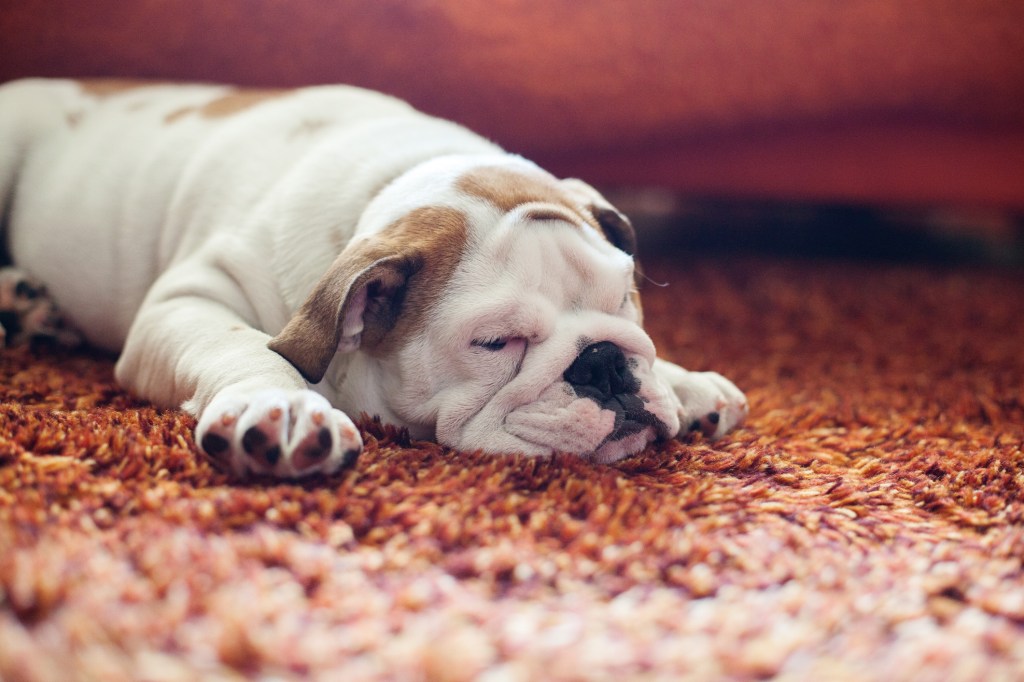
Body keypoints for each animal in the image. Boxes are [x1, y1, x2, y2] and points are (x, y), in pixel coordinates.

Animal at [2, 76, 753, 475]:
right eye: (496, 344)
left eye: (624, 301)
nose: (602, 363)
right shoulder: (192, 297)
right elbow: (240, 345)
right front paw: (282, 407)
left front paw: (685, 381)